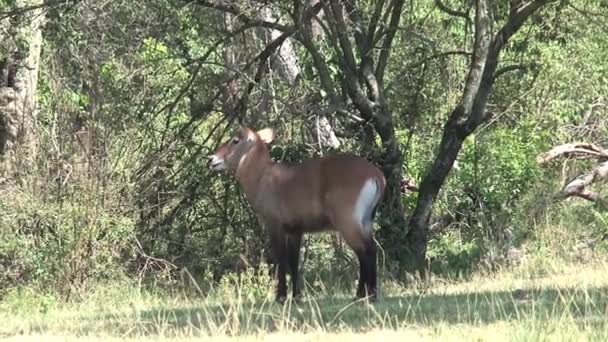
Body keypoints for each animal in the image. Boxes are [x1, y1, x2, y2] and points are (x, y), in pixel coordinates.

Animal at [209, 126, 384, 302]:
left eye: (235, 140)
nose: (211, 159)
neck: (261, 177)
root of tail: (376, 175)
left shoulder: (274, 225)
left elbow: (281, 258)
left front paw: (281, 296)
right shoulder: (295, 230)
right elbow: (294, 261)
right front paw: (296, 296)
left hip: (348, 223)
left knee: (364, 251)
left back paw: (365, 295)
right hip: (366, 222)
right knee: (371, 249)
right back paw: (367, 294)